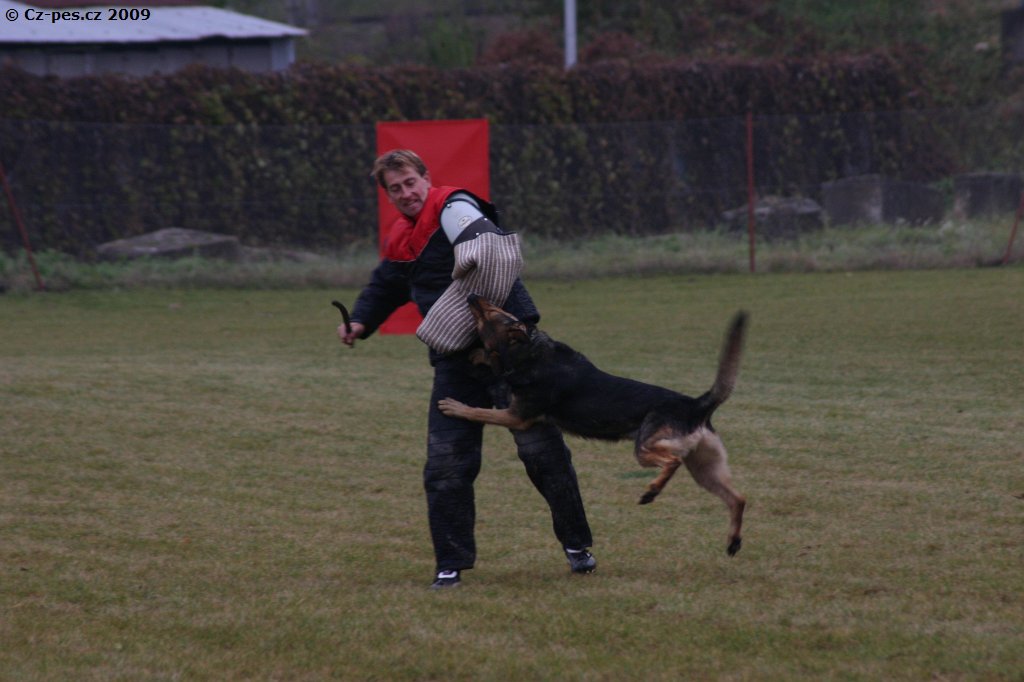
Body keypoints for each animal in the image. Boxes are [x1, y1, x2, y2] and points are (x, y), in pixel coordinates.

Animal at [438, 295, 748, 556]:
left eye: (490, 312)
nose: (471, 295)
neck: (530, 350)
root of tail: (696, 405)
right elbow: (490, 362)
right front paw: (478, 356)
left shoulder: (517, 416)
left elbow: (479, 412)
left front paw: (456, 407)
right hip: (704, 469)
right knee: (738, 498)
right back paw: (733, 542)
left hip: (646, 449)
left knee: (672, 462)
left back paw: (651, 492)